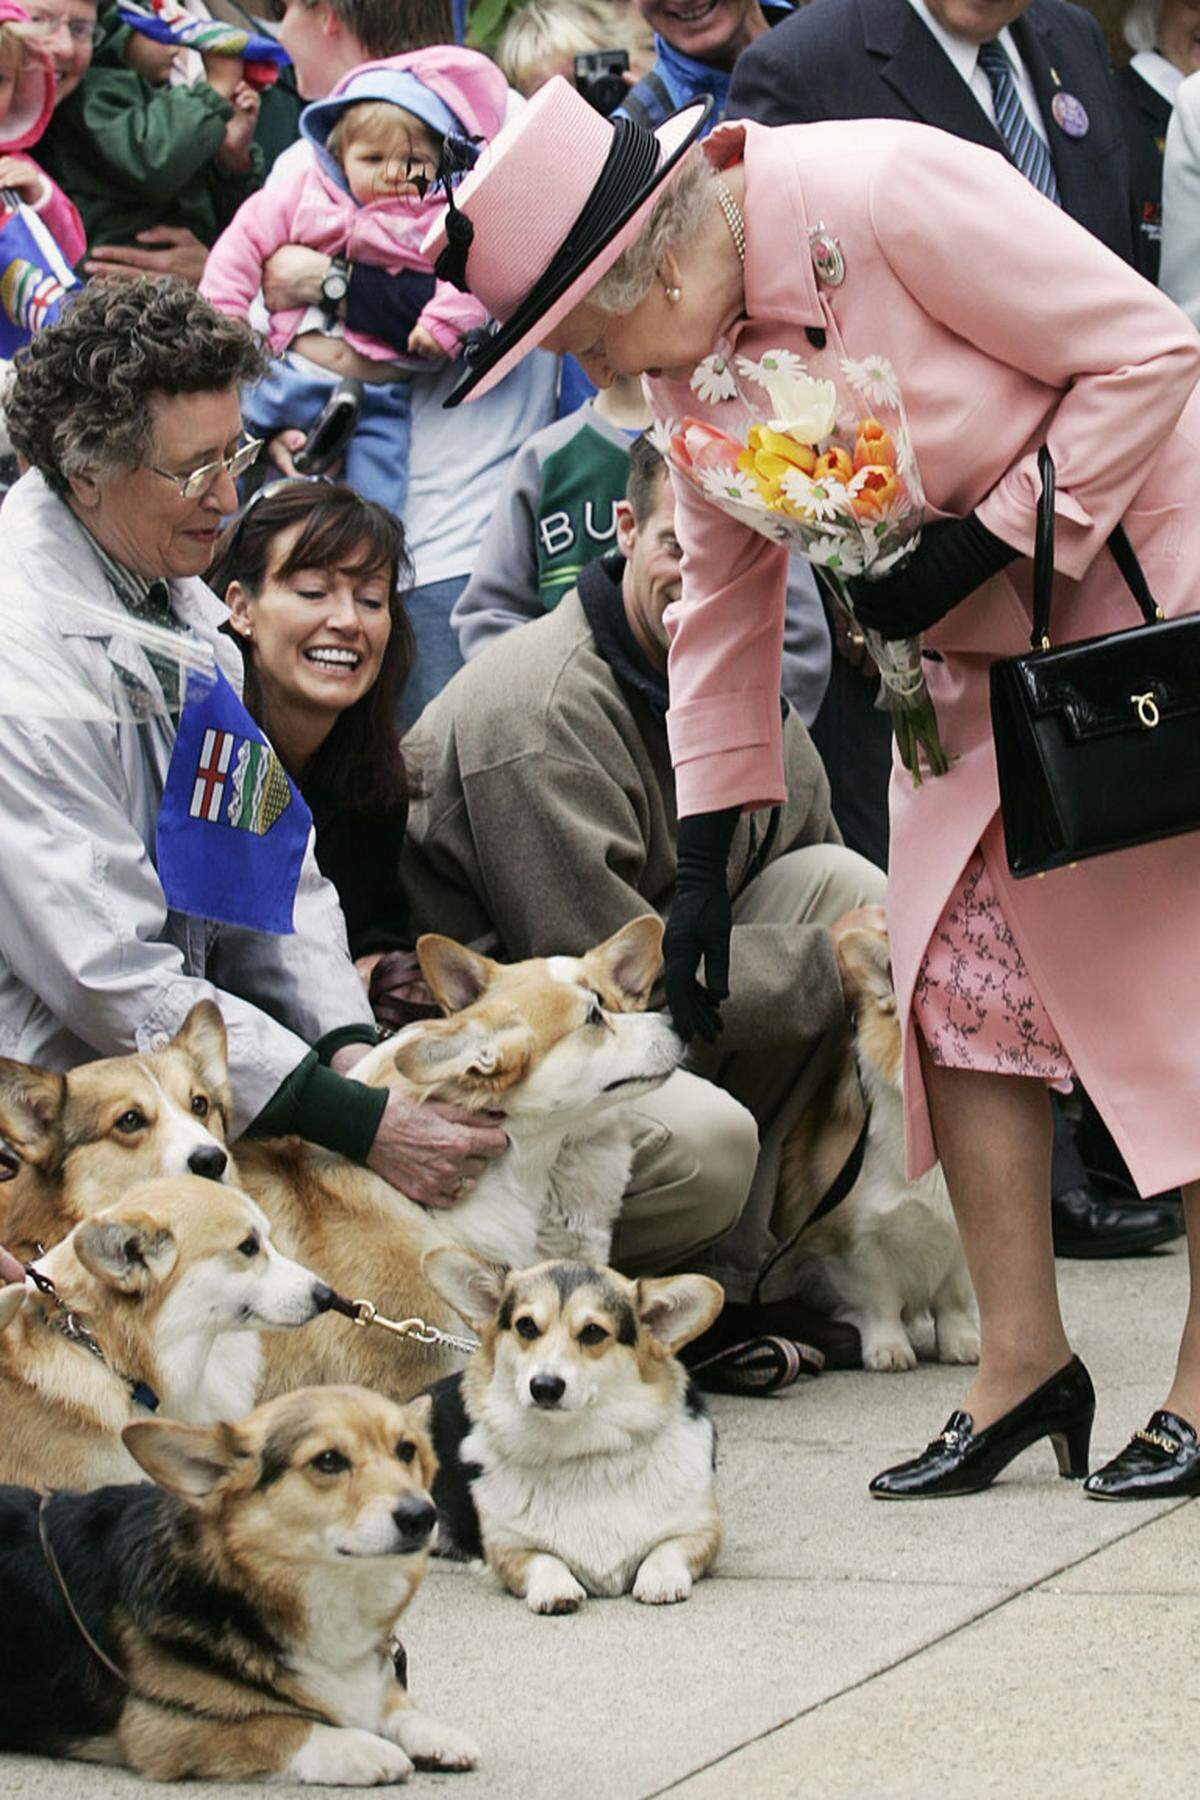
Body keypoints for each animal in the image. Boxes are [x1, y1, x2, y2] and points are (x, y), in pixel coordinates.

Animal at [0, 1382, 478, 1778]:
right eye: (328, 1460)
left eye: (406, 1450)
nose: (421, 1515)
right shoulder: (160, 1725)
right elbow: (278, 1726)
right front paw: (363, 1748)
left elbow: (393, 1702)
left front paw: (433, 1733)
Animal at [422, 1252, 723, 1620]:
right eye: (526, 1325)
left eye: (593, 1332)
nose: (544, 1386)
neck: (579, 1451)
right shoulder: (508, 1546)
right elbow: (543, 1559)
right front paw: (556, 1590)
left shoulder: (701, 1529)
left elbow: (668, 1548)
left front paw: (661, 1579)